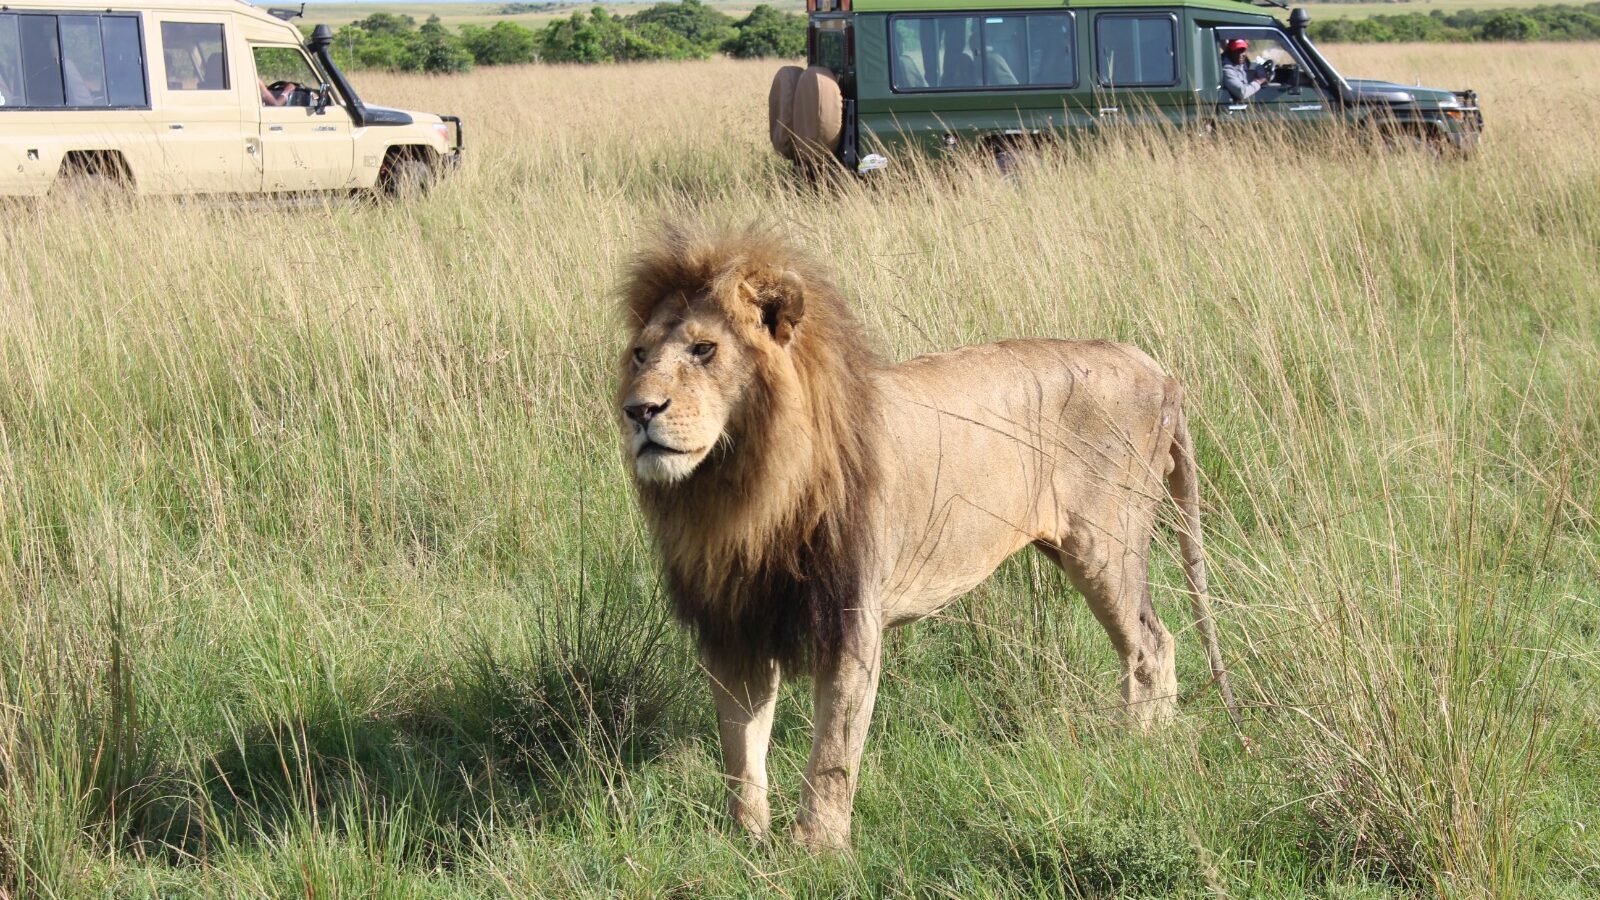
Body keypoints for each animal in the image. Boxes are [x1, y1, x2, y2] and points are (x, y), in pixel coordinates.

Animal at [616, 225, 1236, 851]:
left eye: (704, 350)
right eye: (640, 354)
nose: (637, 411)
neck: (742, 492)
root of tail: (1155, 368)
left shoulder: (851, 617)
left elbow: (833, 751)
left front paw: (817, 848)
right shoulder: (733, 624)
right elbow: (741, 749)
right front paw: (745, 841)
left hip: (1104, 543)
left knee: (1150, 644)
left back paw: (1139, 748)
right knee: (1153, 639)